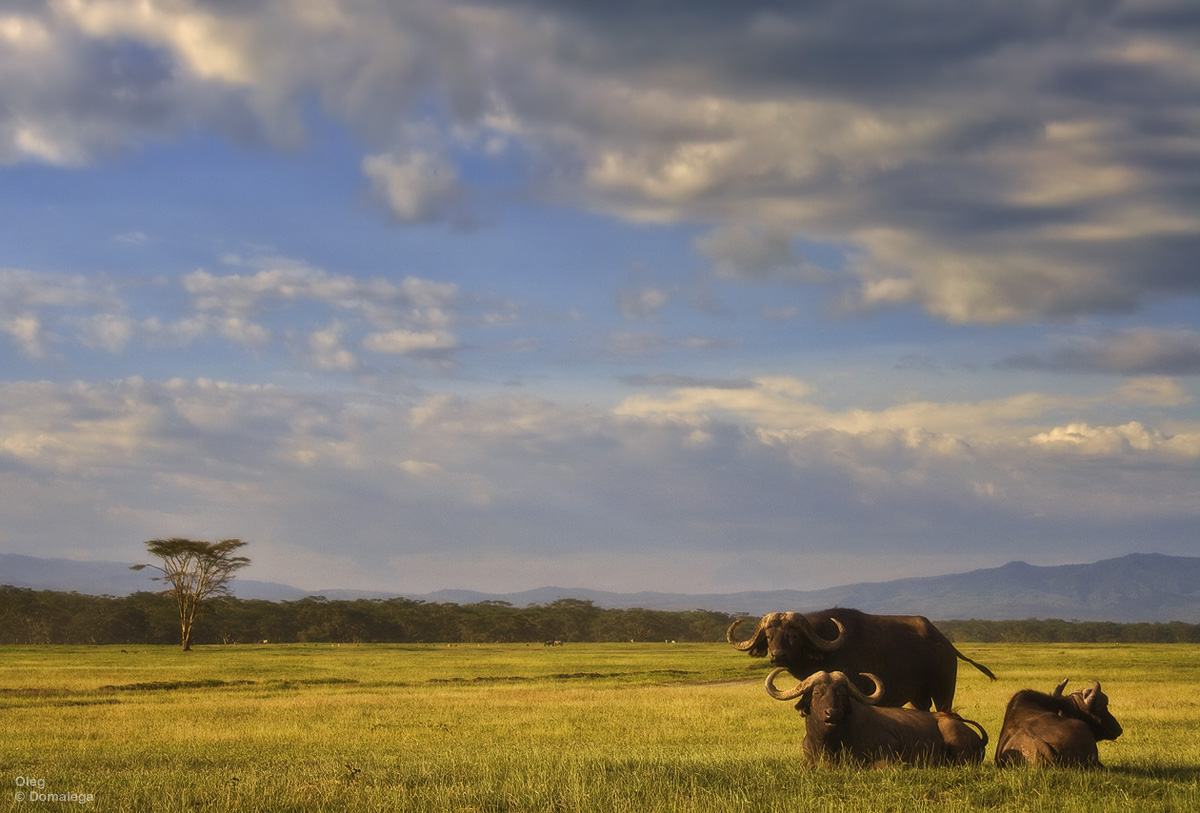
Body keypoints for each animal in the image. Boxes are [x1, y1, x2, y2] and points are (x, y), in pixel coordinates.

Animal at [729, 609, 993, 709]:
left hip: (943, 692)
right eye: (769, 636)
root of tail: (946, 645)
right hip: (917, 698)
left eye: (793, 635)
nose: (777, 655)